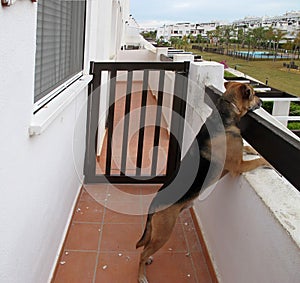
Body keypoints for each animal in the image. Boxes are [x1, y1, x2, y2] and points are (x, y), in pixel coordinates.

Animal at [136, 81, 270, 282]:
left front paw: (254, 150)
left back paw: (147, 262)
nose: (262, 102)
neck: (225, 113)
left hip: (157, 231)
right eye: (253, 94)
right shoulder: (238, 166)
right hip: (164, 233)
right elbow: (259, 160)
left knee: (146, 248)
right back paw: (141, 276)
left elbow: (248, 148)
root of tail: (154, 202)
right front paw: (268, 162)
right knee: (142, 253)